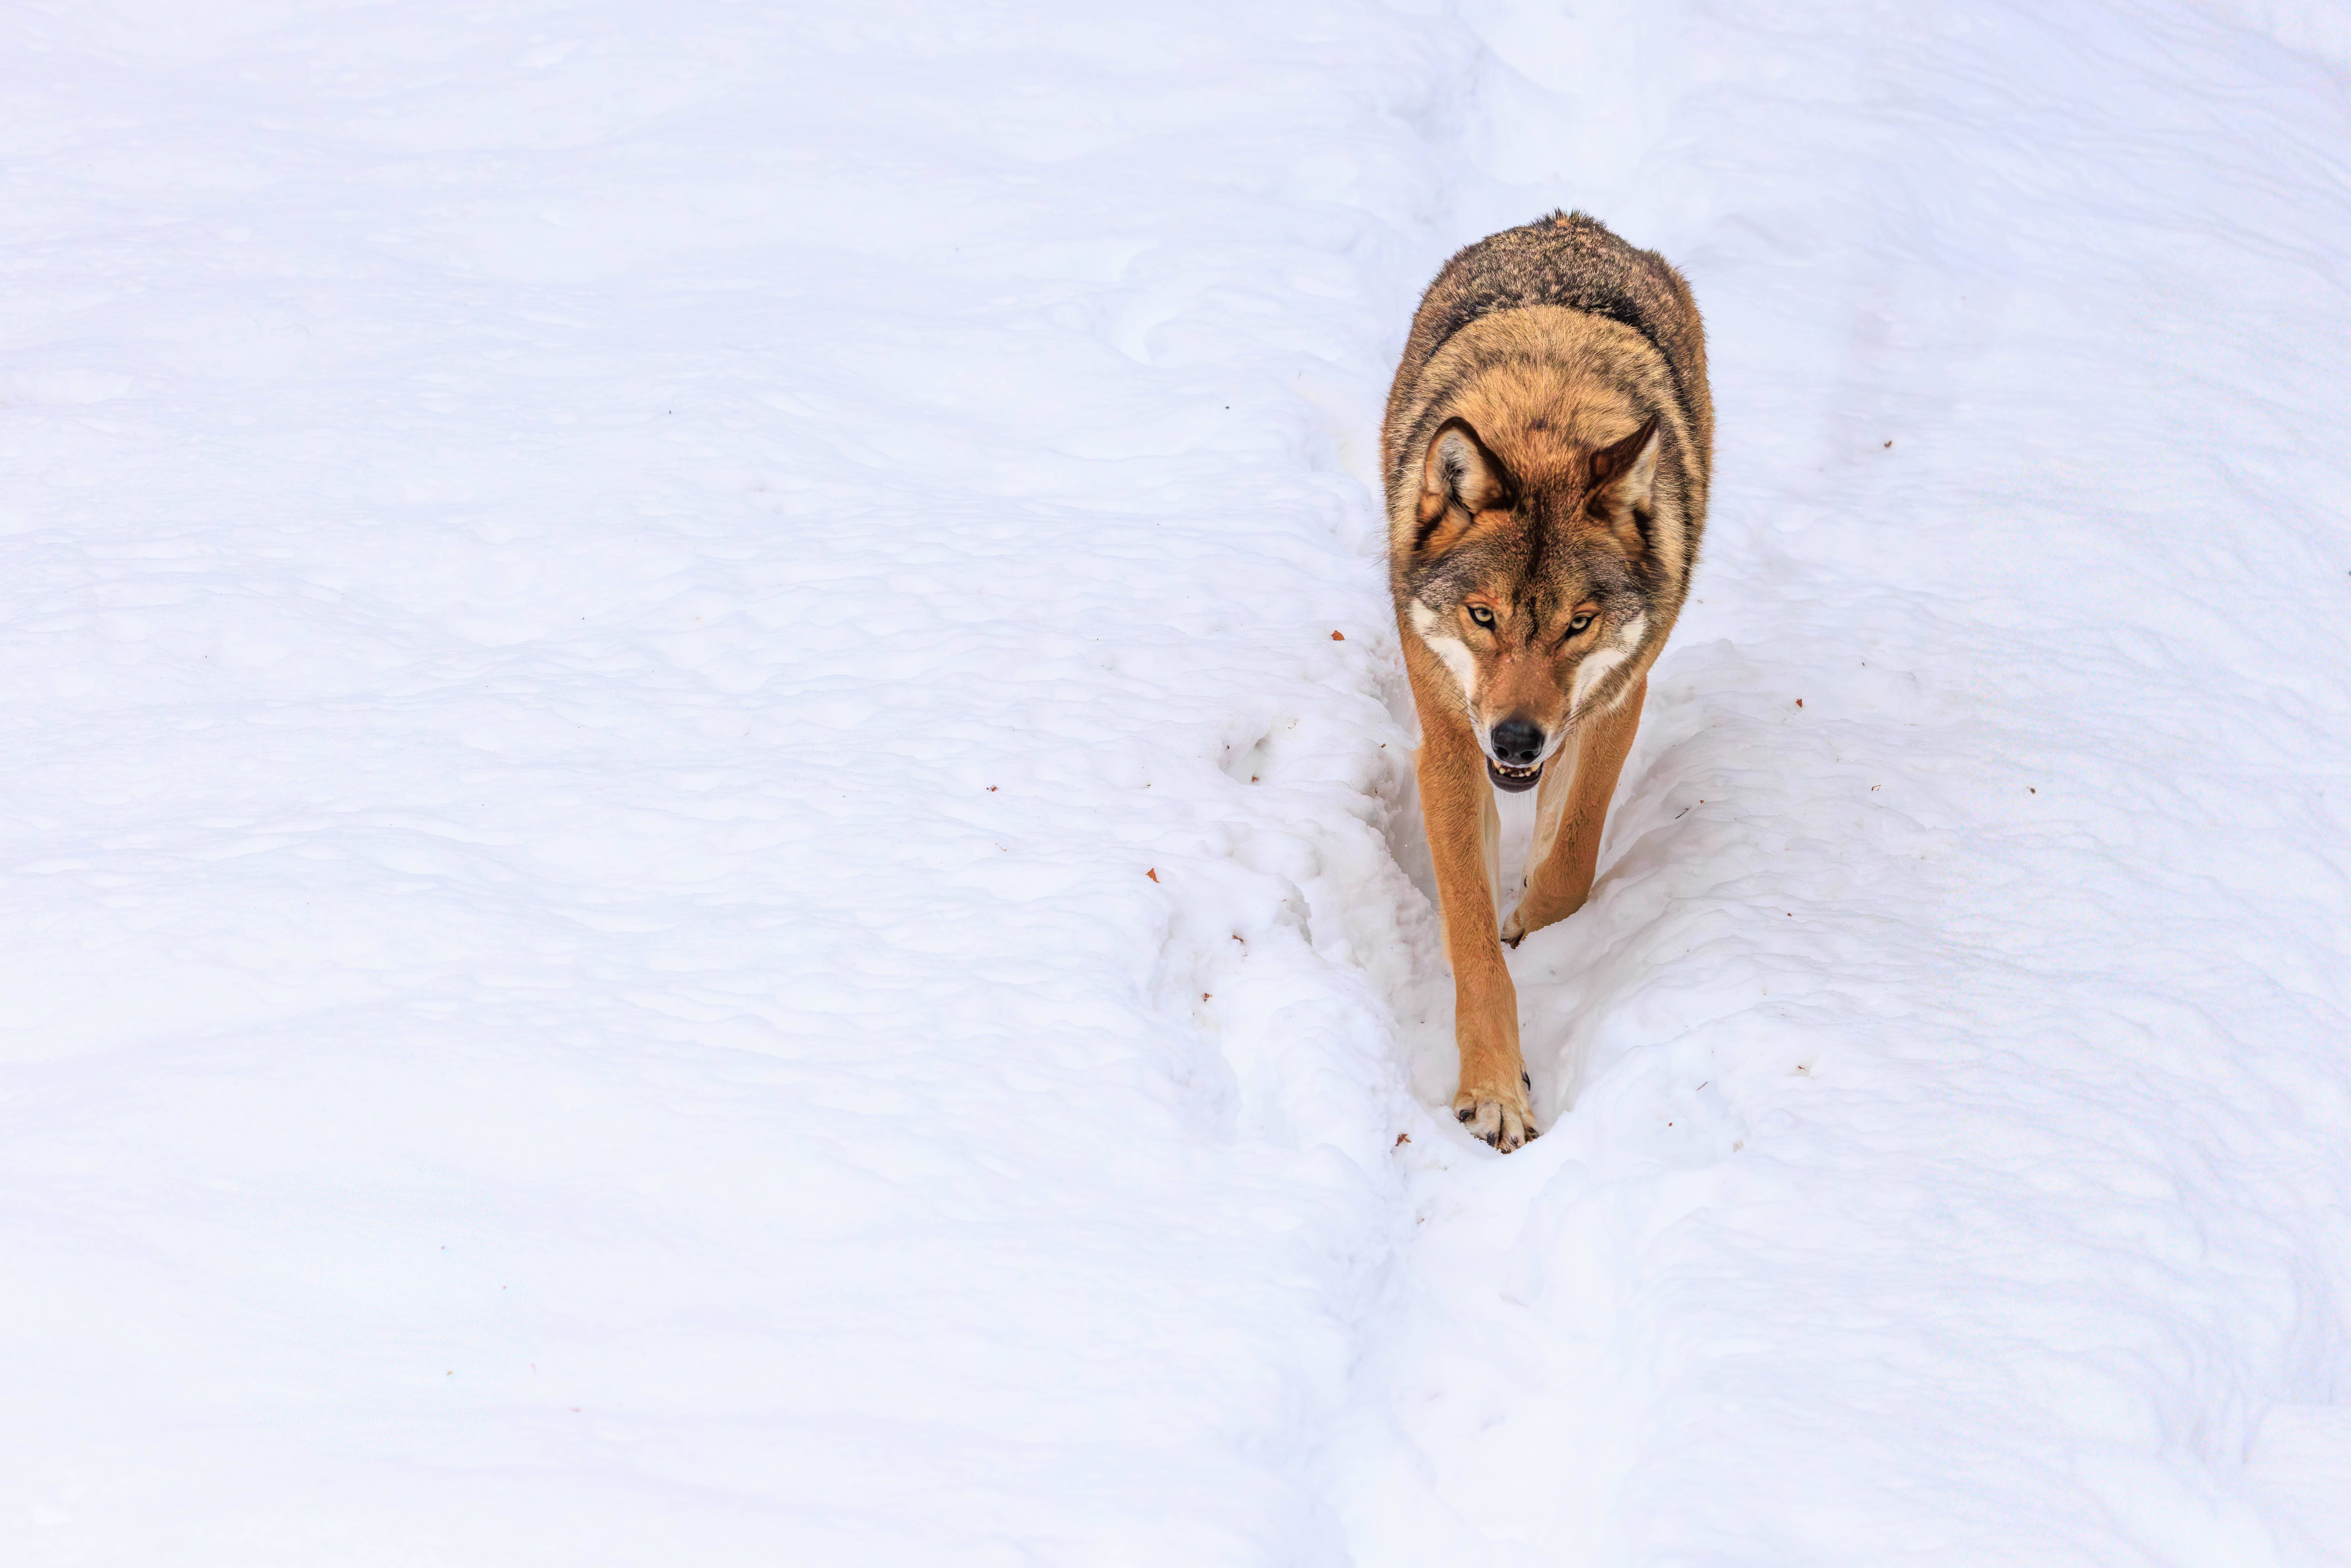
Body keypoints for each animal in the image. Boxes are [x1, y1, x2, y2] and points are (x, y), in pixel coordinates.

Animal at [1382, 211, 1713, 1150]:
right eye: (1483, 616)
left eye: (1577, 623)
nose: (1517, 738)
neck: (1545, 425)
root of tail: (1568, 221)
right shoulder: (1449, 748)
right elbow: (1472, 944)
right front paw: (1496, 1091)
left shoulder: (1613, 706)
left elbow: (1571, 862)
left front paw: (1535, 923)